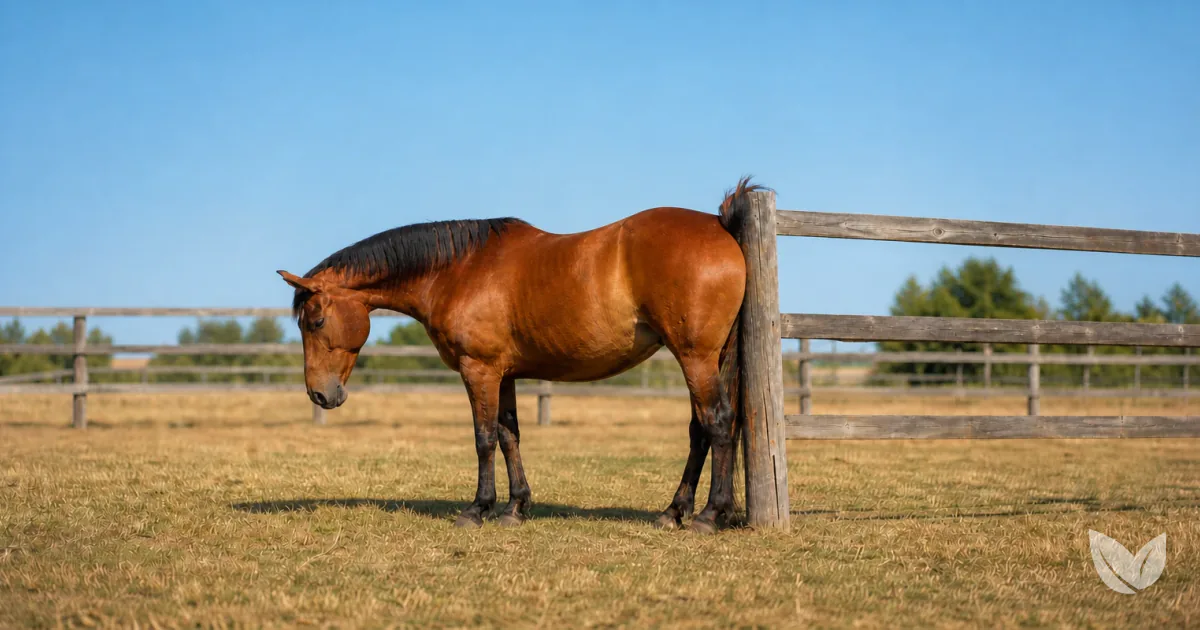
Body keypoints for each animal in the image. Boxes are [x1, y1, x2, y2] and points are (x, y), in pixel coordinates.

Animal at [278, 177, 764, 534]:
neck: (457, 269)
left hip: (695, 357)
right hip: (702, 359)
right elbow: (509, 435)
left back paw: (708, 515)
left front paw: (477, 509)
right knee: (700, 430)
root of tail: (720, 226)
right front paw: (515, 508)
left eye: (314, 321)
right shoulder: (504, 373)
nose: (319, 395)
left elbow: (484, 438)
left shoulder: (478, 370)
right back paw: (674, 512)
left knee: (718, 423)